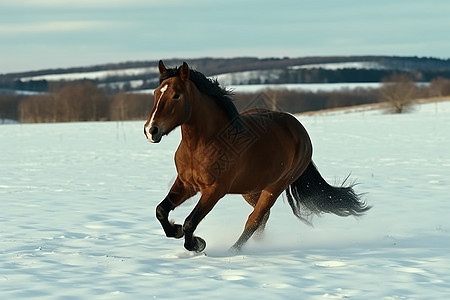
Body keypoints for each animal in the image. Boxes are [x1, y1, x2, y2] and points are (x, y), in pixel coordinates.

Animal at [143, 61, 370, 253]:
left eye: (176, 95)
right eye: (155, 93)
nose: (151, 130)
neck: (202, 144)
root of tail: (300, 131)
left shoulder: (214, 190)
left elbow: (191, 222)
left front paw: (198, 243)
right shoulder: (186, 183)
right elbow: (161, 210)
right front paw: (176, 230)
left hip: (273, 188)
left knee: (255, 219)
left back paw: (234, 250)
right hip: (251, 189)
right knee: (262, 218)